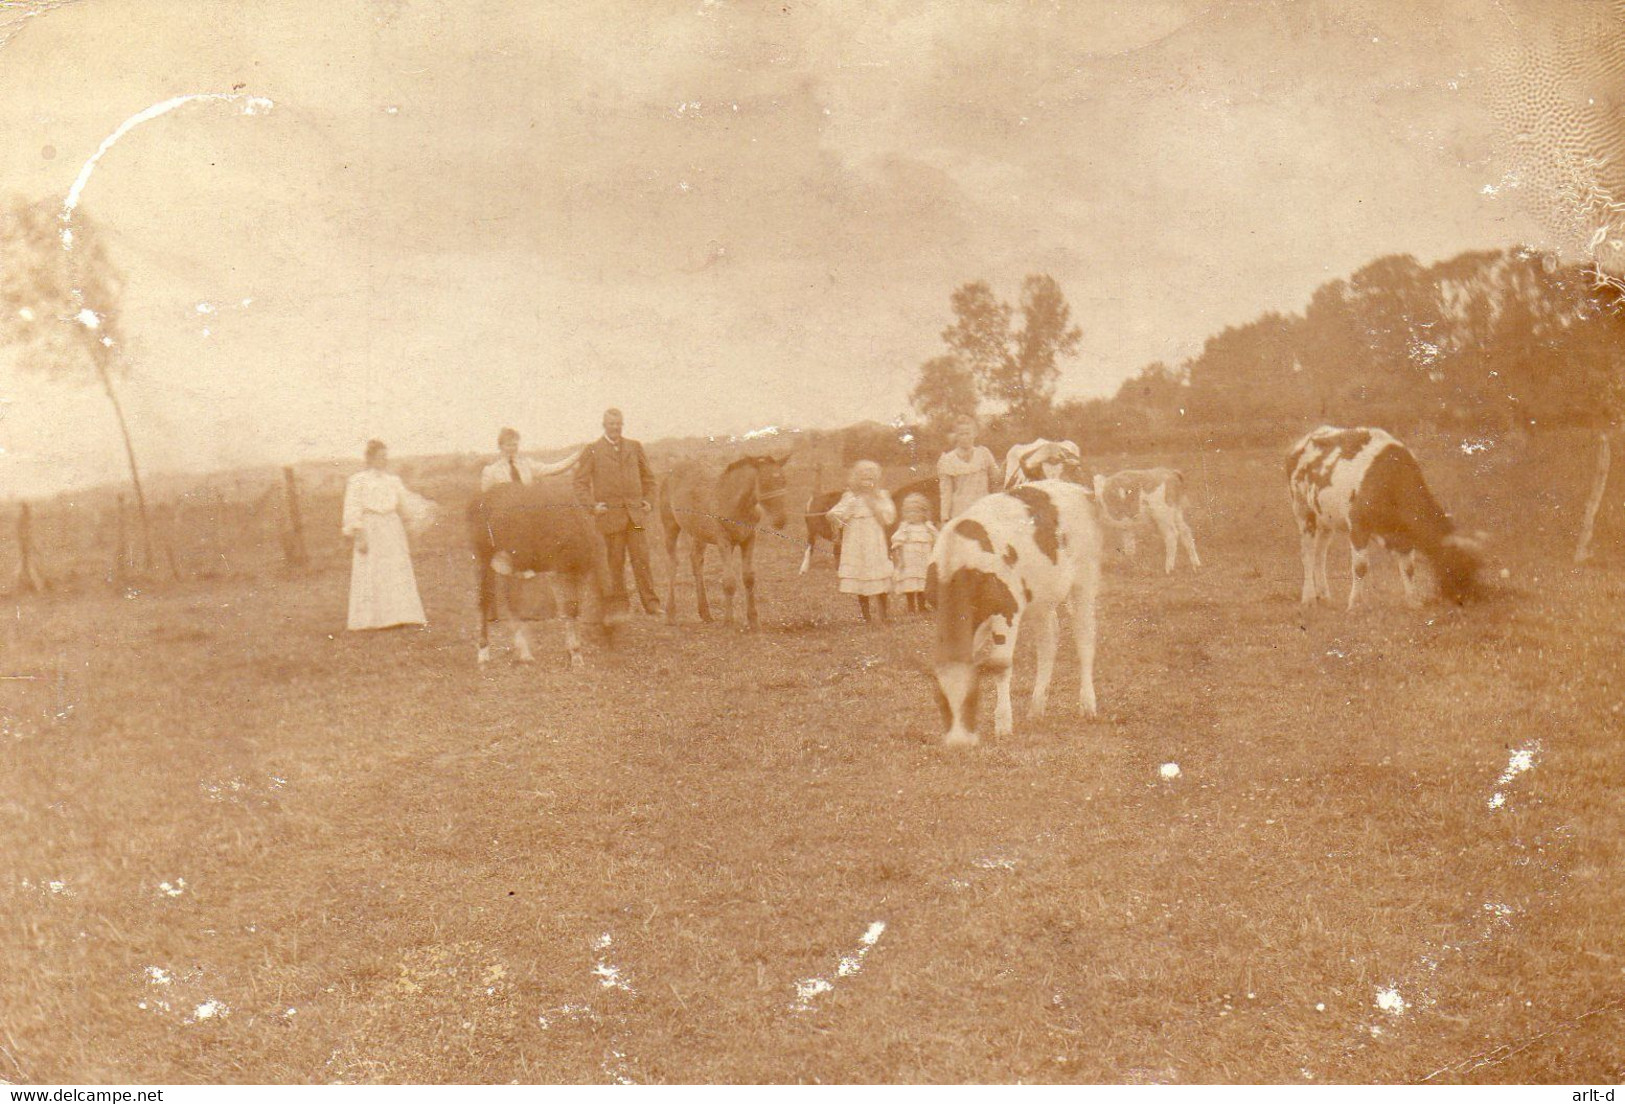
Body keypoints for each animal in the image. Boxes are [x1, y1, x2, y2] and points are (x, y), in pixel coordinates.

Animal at [474, 481, 630, 666]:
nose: (614, 649)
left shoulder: (580, 571)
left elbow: (574, 608)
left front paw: (572, 651)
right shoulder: (558, 569)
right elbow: (569, 607)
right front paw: (576, 654)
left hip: (510, 563)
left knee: (509, 600)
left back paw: (522, 652)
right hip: (484, 555)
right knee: (486, 599)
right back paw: (485, 652)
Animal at [929, 478, 1105, 747]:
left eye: (972, 699)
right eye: (941, 701)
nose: (958, 743)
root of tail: (1076, 488)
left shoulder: (1007, 610)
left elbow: (1000, 665)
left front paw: (1003, 724)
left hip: (1085, 580)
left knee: (1084, 639)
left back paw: (1088, 706)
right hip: (1041, 597)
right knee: (1048, 640)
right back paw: (1036, 708)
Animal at [1287, 425, 1482, 614]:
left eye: (1475, 566)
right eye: (1457, 565)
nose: (1472, 598)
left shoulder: (1404, 534)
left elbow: (1409, 568)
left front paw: (1413, 602)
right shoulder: (1358, 526)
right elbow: (1360, 566)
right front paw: (1355, 605)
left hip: (1325, 518)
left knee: (1321, 554)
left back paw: (1325, 597)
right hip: (1302, 509)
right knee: (1308, 554)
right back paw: (1309, 599)